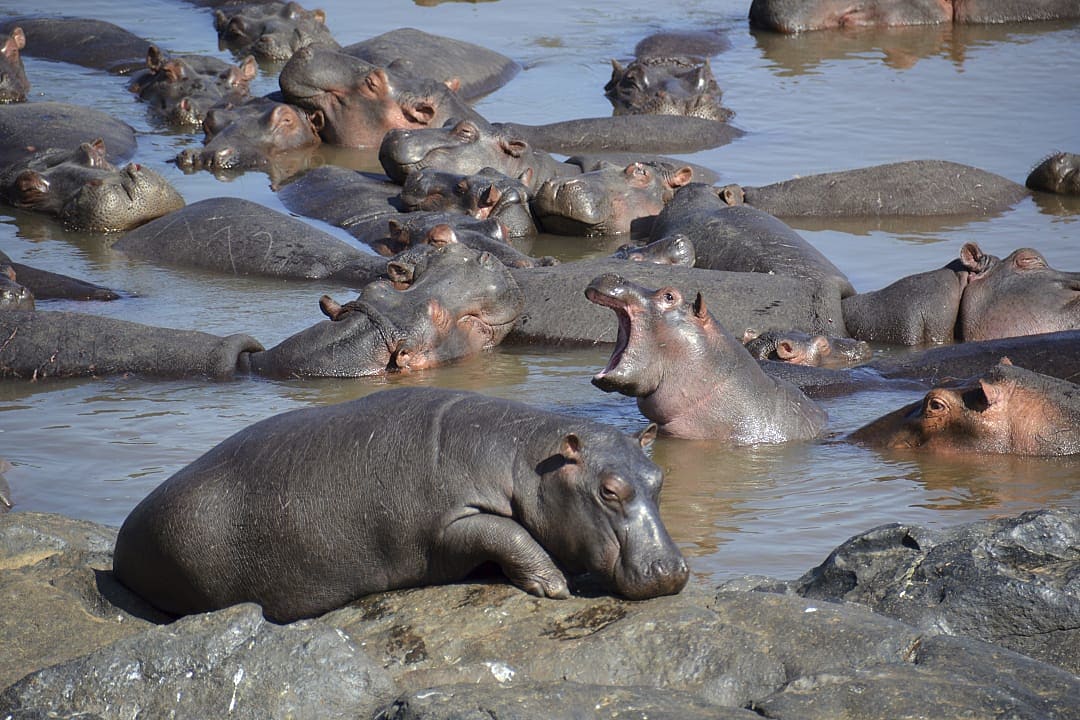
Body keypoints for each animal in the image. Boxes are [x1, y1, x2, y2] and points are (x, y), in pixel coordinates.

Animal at [113, 386, 688, 622]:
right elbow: (507, 532)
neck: (525, 461)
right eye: (608, 490)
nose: (670, 570)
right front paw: (555, 588)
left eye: (659, 478)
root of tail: (121, 542)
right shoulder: (446, 526)